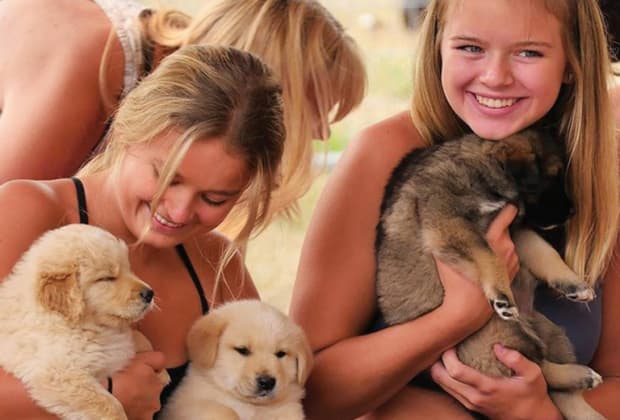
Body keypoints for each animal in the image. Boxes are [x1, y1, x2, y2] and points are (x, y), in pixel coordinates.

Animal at [0, 224, 167, 420]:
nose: (150, 293)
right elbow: (107, 404)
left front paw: (163, 373)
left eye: (129, 269)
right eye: (107, 278)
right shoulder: (59, 373)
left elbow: (135, 337)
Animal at [160, 299, 313, 420]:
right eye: (242, 350)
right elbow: (225, 410)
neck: (251, 406)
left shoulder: (289, 410)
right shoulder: (184, 406)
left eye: (281, 353)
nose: (267, 382)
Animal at [375, 130, 605, 420]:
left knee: (547, 376)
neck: (482, 170)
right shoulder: (449, 221)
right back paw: (581, 376)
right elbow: (489, 254)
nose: (573, 211)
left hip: (551, 331)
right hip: (492, 337)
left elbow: (545, 253)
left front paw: (574, 284)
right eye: (552, 176)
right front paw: (501, 293)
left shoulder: (516, 231)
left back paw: (585, 396)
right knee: (536, 369)